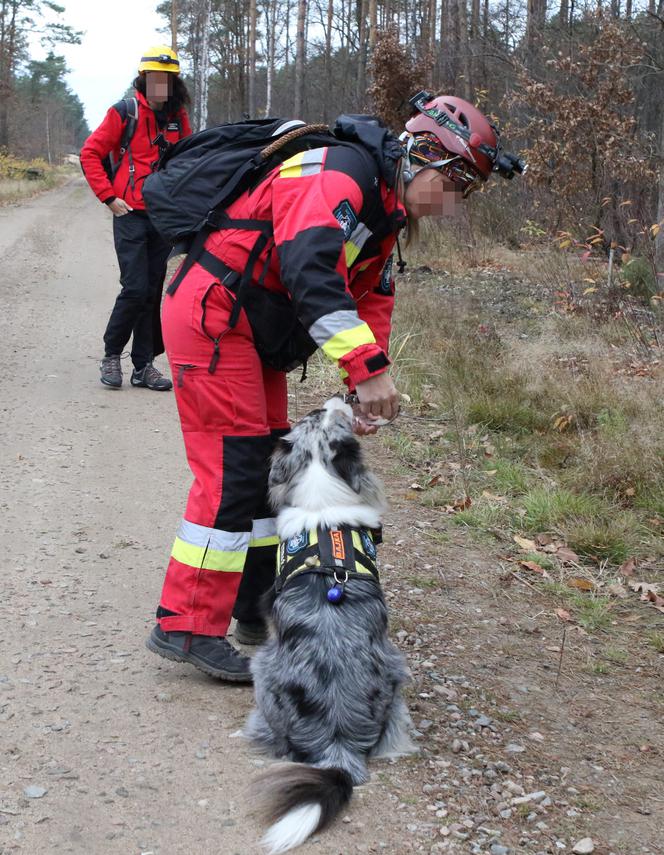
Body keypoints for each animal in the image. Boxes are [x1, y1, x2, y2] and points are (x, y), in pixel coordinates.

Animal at [246, 400, 418, 855]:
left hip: (262, 669)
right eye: (314, 415)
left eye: (325, 416)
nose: (338, 397)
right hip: (395, 667)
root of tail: (337, 743)